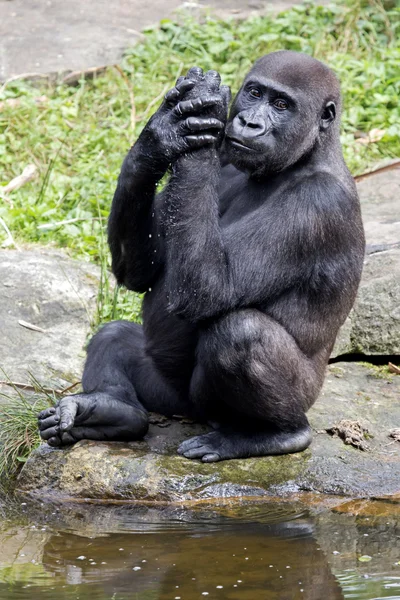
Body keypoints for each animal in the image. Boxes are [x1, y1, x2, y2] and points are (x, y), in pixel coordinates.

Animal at [38, 52, 366, 464]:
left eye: (281, 105)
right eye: (254, 93)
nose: (249, 122)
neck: (308, 155)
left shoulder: (318, 204)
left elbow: (212, 288)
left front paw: (205, 114)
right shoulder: (229, 156)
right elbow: (142, 272)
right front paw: (161, 135)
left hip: (294, 398)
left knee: (239, 333)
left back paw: (275, 434)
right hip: (172, 398)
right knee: (115, 337)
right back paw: (110, 412)